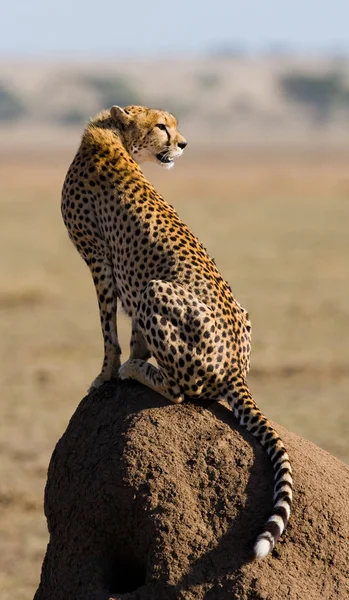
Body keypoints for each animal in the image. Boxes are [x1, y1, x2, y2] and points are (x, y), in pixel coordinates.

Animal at [61, 105, 290, 560]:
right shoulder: (119, 270)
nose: (183, 144)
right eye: (161, 126)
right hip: (228, 308)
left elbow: (108, 331)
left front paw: (107, 374)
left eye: (173, 124)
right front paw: (132, 358)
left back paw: (136, 373)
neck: (111, 134)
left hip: (155, 289)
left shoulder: (100, 260)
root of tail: (236, 368)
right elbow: (130, 332)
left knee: (183, 392)